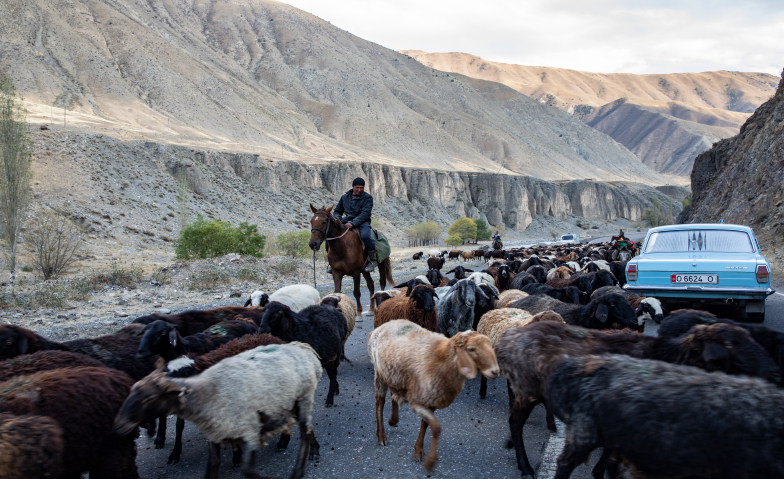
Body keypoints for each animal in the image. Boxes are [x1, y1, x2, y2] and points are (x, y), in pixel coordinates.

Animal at [113, 342, 322, 479]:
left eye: (149, 398)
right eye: (132, 390)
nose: (118, 426)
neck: (205, 392)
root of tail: (302, 348)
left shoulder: (249, 432)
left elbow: (247, 471)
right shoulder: (216, 434)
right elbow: (213, 466)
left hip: (303, 398)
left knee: (305, 433)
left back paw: (300, 467)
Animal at [366, 320, 496, 474]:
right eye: (471, 349)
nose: (495, 371)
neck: (441, 359)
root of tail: (384, 325)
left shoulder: (430, 400)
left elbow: (425, 425)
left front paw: (419, 451)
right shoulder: (417, 402)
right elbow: (436, 428)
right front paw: (430, 462)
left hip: (394, 375)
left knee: (393, 394)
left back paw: (393, 420)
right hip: (379, 373)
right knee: (379, 403)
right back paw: (381, 435)